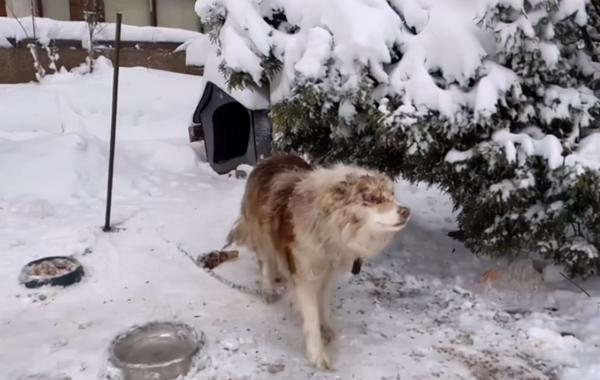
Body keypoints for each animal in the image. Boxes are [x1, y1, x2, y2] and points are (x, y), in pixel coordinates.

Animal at [227, 153, 410, 370]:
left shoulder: (327, 270)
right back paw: (269, 289)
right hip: (263, 233)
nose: (406, 211)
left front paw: (326, 327)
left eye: (392, 195)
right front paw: (318, 354)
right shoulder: (305, 275)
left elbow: (322, 303)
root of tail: (271, 157)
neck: (327, 226)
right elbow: (312, 316)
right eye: (372, 199)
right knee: (267, 263)